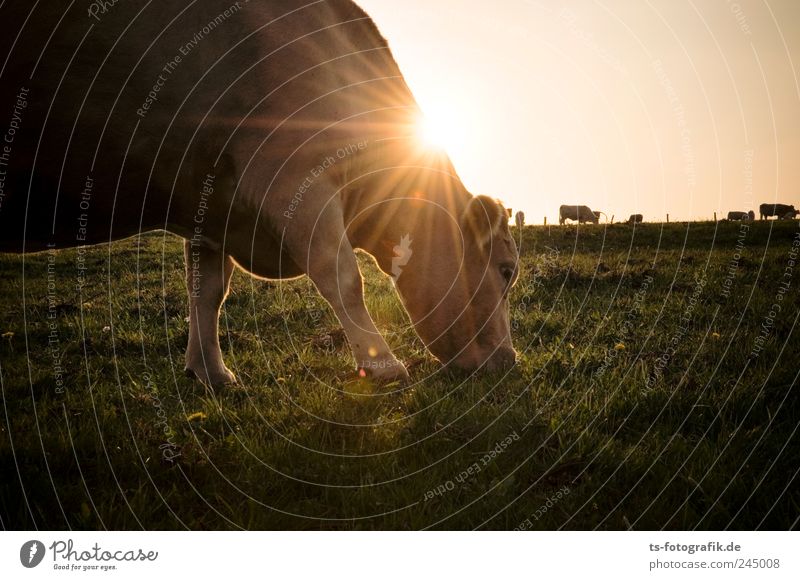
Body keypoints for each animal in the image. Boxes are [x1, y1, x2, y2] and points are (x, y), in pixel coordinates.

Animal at [0, 3, 520, 390]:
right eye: (507, 270)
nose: (509, 361)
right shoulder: (294, 178)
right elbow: (343, 277)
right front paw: (384, 364)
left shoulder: (209, 211)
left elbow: (208, 290)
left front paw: (211, 372)